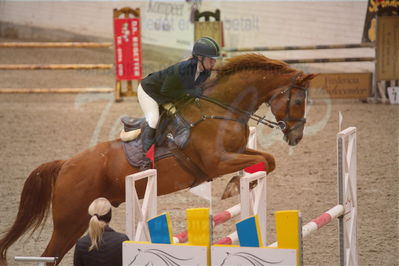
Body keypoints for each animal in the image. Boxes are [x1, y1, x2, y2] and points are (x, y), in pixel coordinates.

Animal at [0, 53, 316, 264]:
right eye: (299, 100)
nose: (296, 137)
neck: (222, 110)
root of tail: (65, 165)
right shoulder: (217, 162)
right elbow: (258, 162)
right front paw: (231, 187)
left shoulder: (238, 152)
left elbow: (268, 160)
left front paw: (237, 186)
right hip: (68, 221)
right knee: (48, 256)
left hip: (79, 221)